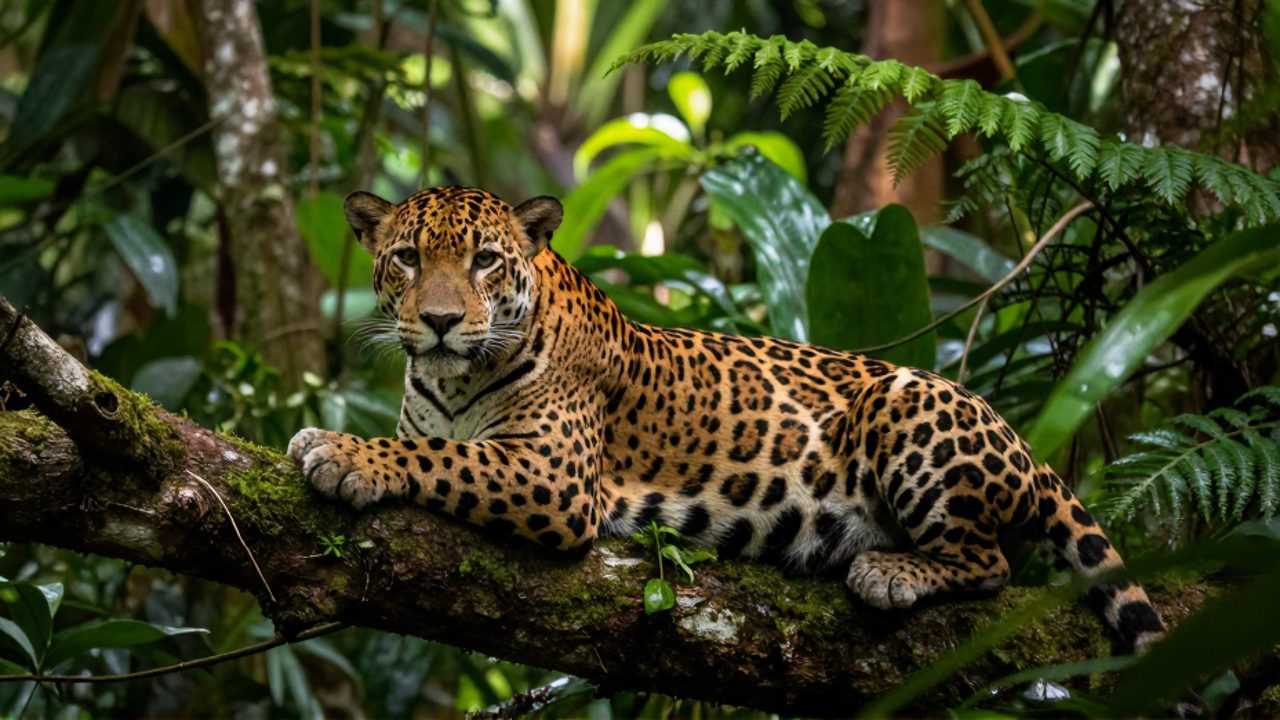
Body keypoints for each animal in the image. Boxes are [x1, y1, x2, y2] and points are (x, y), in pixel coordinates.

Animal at [288, 185, 1165, 653]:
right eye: (407, 259)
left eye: (485, 262)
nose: (439, 322)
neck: (452, 376)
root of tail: (1020, 441)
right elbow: (431, 447)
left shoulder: (553, 475)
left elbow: (443, 460)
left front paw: (341, 451)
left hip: (907, 400)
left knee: (990, 561)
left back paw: (889, 572)